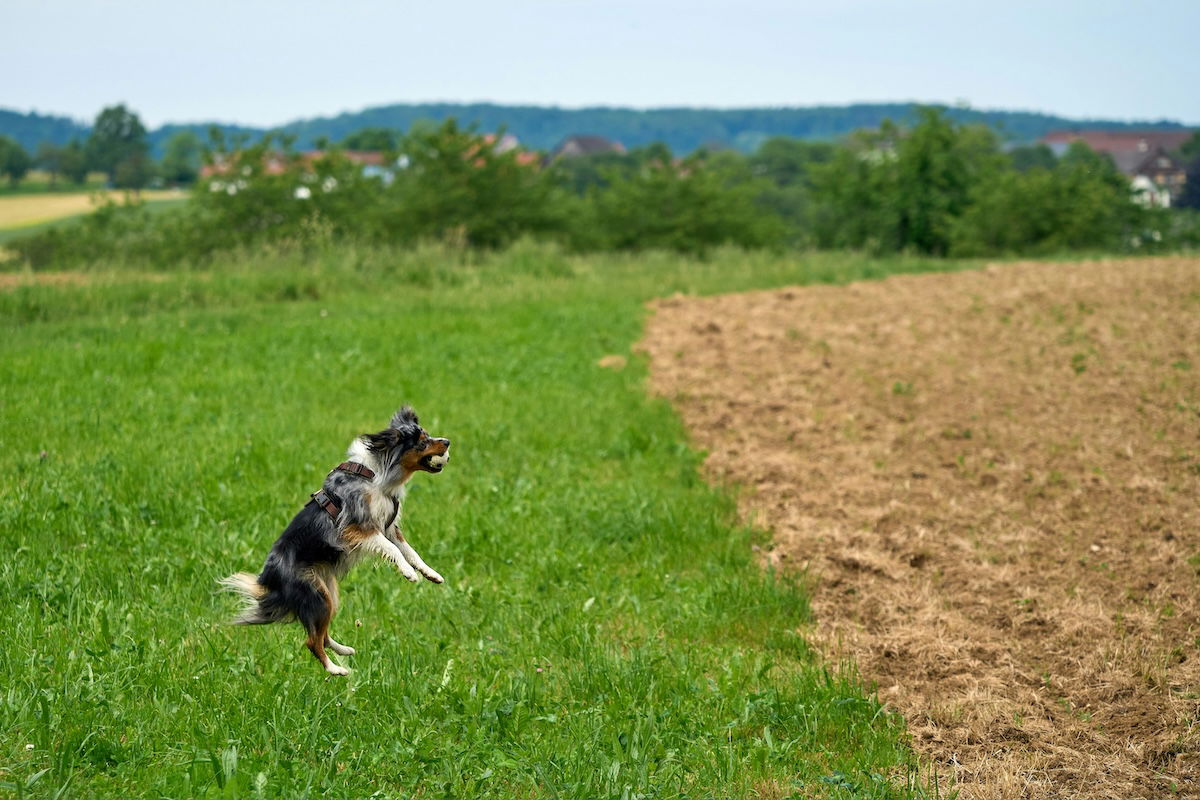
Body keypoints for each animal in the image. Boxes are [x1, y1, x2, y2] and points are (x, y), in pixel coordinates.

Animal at [222, 407, 451, 676]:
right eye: (422, 441)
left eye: (428, 435)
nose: (448, 441)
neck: (376, 475)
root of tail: (267, 581)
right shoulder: (359, 528)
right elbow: (393, 550)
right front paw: (409, 573)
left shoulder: (389, 528)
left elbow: (410, 551)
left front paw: (430, 573)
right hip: (316, 595)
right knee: (311, 641)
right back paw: (336, 670)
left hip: (329, 594)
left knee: (321, 634)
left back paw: (344, 651)